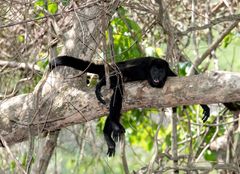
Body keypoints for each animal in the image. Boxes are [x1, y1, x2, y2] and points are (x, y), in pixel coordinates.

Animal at [49, 55, 210, 156]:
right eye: (154, 70)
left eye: (161, 70)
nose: (157, 76)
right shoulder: (141, 68)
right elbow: (122, 74)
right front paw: (100, 84)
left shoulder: (169, 73)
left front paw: (204, 105)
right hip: (114, 72)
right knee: (118, 84)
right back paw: (113, 124)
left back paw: (108, 133)